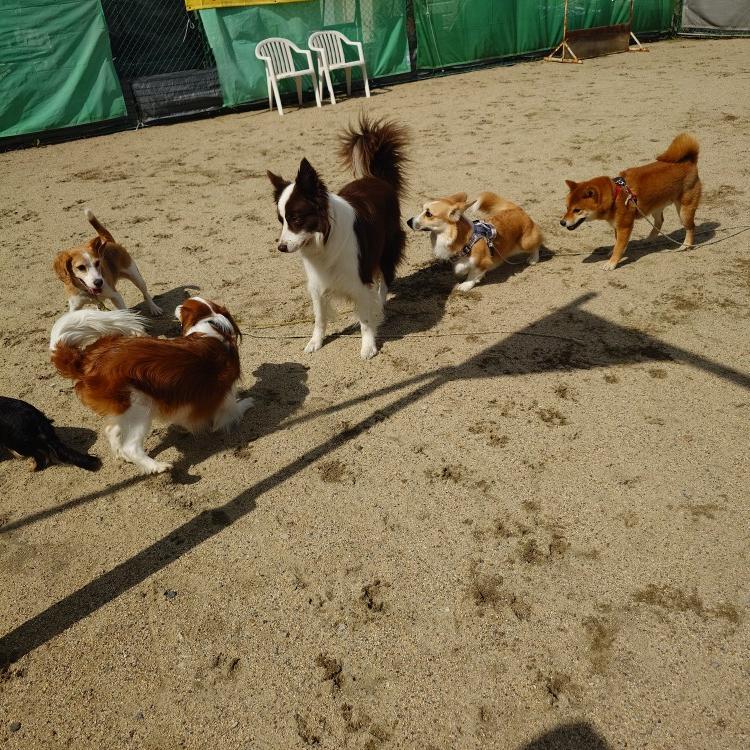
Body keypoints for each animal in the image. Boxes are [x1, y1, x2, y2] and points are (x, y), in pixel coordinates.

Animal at [49, 298, 252, 474]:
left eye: (183, 307)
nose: (177, 305)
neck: (212, 325)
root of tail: (87, 360)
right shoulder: (225, 393)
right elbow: (232, 409)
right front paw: (247, 404)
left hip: (125, 408)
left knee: (112, 431)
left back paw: (123, 457)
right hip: (140, 406)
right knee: (131, 446)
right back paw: (157, 467)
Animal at [266, 115, 408, 359]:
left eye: (296, 218)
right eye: (281, 220)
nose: (281, 247)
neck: (324, 238)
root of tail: (377, 179)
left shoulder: (359, 278)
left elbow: (365, 319)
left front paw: (368, 345)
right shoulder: (317, 281)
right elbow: (319, 317)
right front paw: (315, 341)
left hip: (386, 249)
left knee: (385, 281)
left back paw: (380, 309)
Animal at [407, 192, 542, 292]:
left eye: (429, 214)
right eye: (422, 210)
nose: (408, 221)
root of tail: (517, 209)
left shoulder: (483, 262)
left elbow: (472, 273)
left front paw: (465, 285)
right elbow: (460, 268)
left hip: (526, 243)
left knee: (537, 244)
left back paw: (533, 259)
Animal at [560, 133, 702, 270]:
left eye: (577, 210)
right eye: (567, 207)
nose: (562, 222)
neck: (615, 196)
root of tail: (689, 162)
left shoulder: (624, 227)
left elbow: (619, 246)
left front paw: (612, 263)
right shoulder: (617, 226)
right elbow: (618, 243)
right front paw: (615, 253)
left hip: (684, 210)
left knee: (690, 227)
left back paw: (686, 245)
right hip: (655, 206)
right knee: (660, 221)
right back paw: (649, 239)